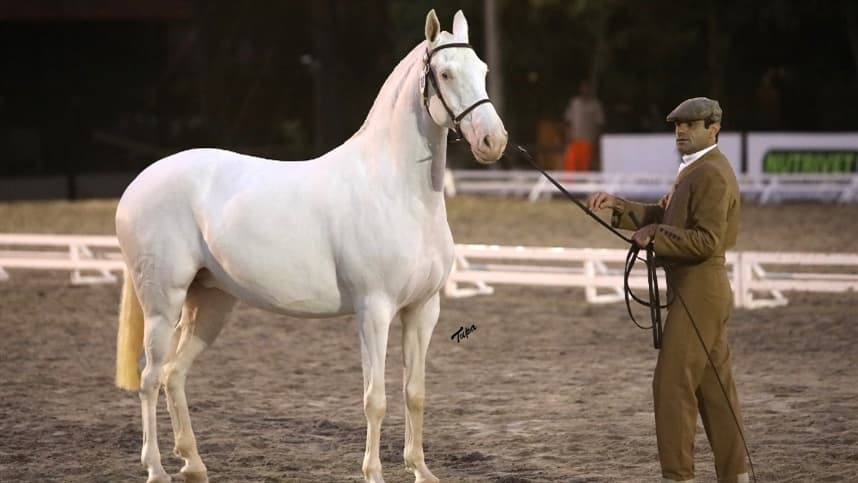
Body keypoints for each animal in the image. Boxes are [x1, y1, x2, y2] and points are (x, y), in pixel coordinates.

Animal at [114, 9, 507, 483]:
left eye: (483, 70)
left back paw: (193, 463)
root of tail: (137, 184)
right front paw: (374, 473)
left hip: (209, 303)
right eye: (446, 73)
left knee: (174, 374)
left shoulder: (422, 310)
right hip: (162, 303)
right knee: (150, 378)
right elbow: (375, 398)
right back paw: (156, 468)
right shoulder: (374, 310)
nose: (493, 142)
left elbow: (414, 392)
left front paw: (421, 470)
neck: (395, 189)